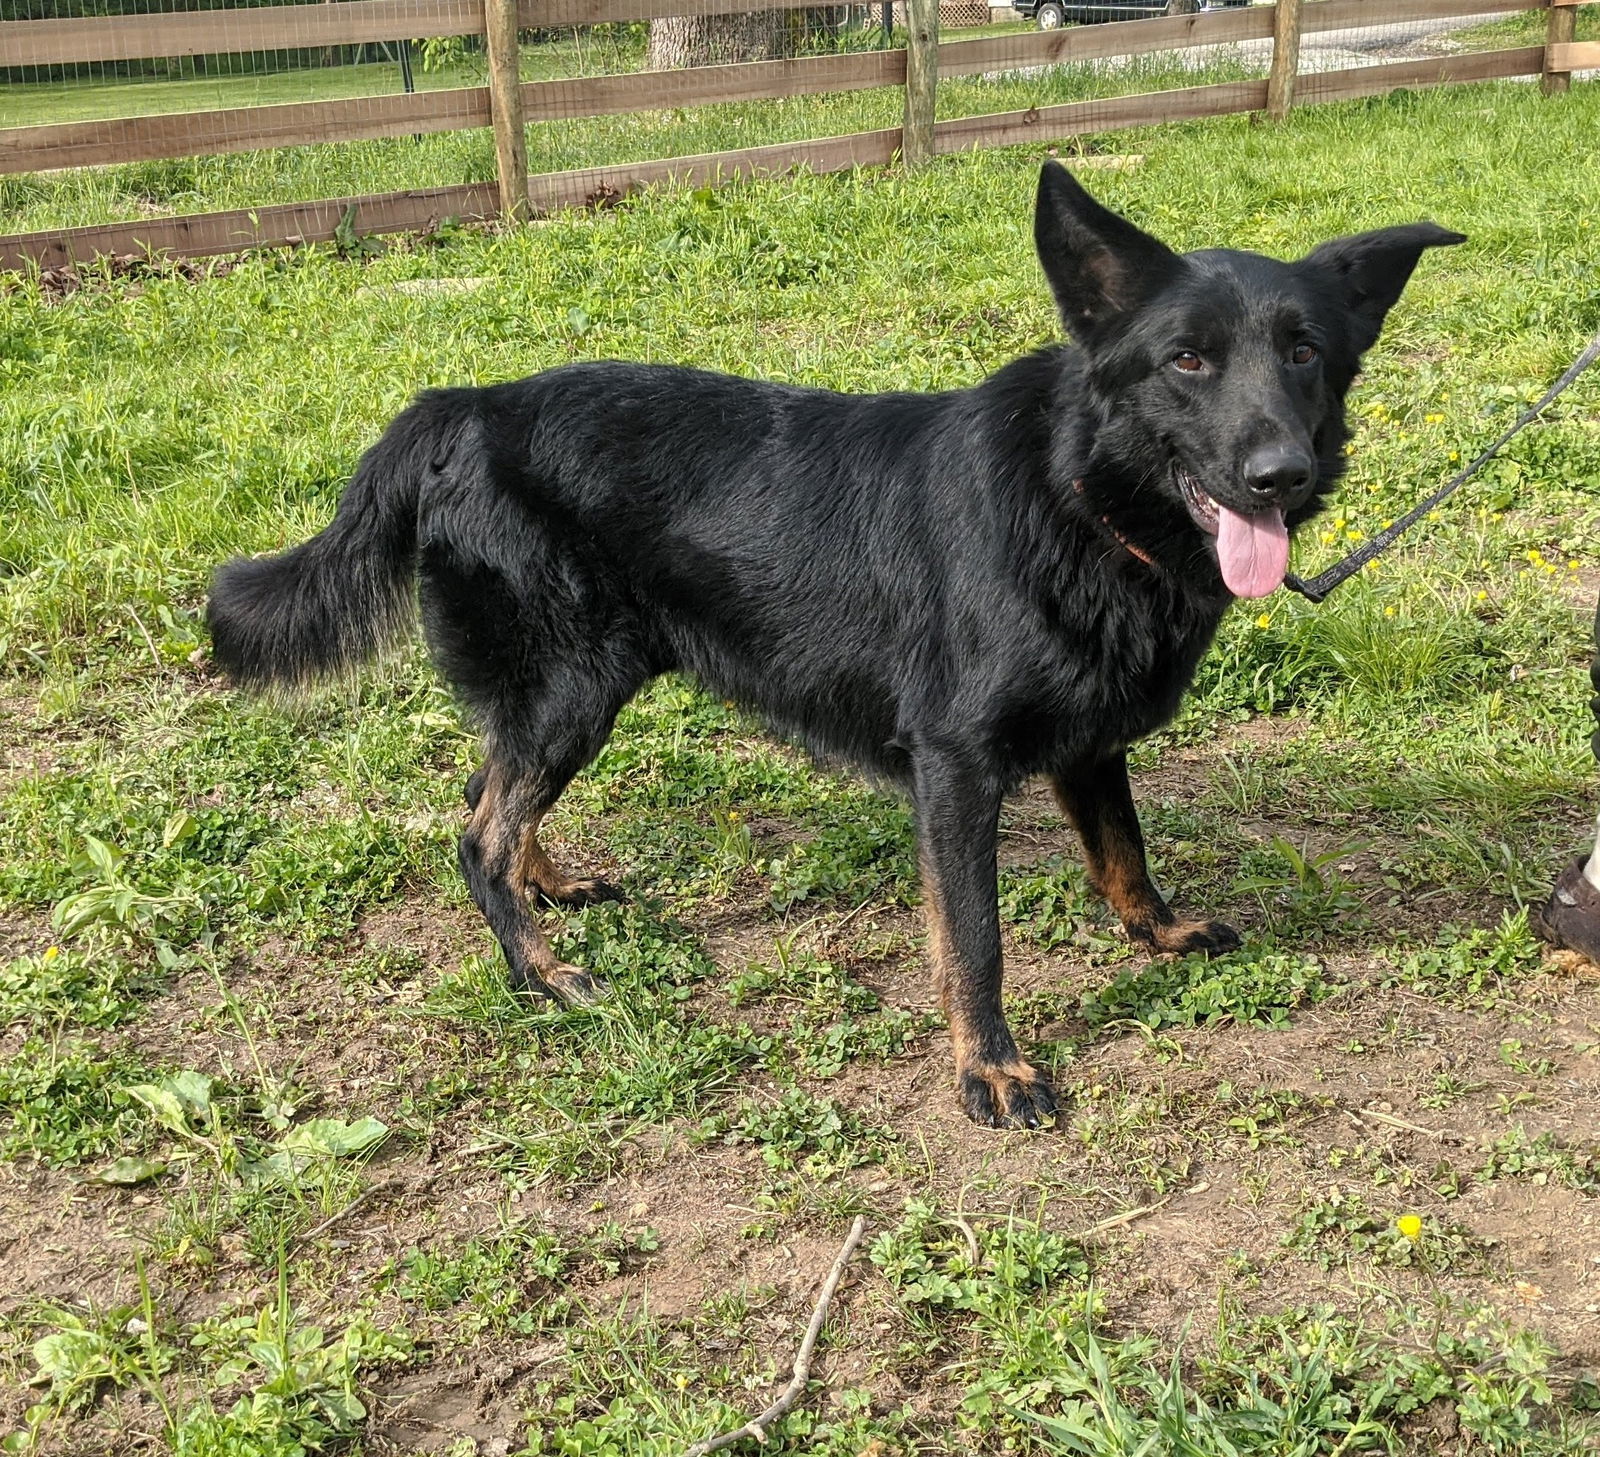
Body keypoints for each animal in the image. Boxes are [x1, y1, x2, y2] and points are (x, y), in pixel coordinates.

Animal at [209, 167, 1465, 1125]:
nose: (1279, 475)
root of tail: (461, 403)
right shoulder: (955, 767)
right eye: (1187, 362)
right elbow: (973, 939)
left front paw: (1154, 929)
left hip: (562, 692)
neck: (1080, 498)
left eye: (1303, 353)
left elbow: (1124, 846)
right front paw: (989, 1068)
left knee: (489, 792)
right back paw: (543, 969)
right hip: (573, 686)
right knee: (475, 831)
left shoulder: (1089, 743)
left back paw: (549, 883)